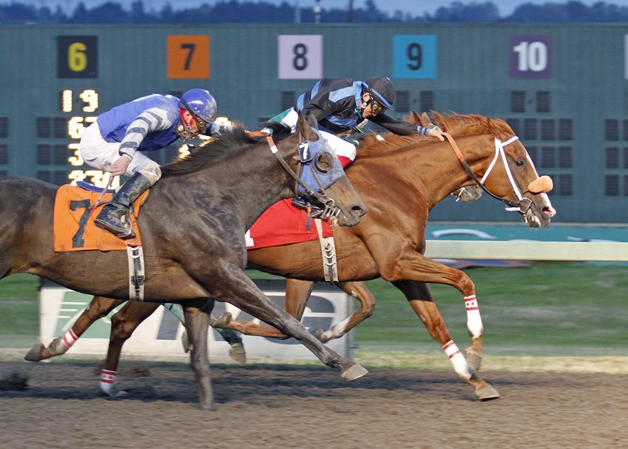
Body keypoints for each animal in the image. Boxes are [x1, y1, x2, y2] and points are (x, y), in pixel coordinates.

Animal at [0, 113, 366, 410]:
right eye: (323, 160)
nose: (357, 208)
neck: (212, 199)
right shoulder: (224, 276)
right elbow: (287, 320)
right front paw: (344, 364)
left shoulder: (197, 296)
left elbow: (201, 361)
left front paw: (208, 405)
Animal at [31, 111, 556, 400]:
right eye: (520, 160)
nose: (545, 207)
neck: (397, 182)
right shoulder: (395, 262)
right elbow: (464, 281)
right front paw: (477, 351)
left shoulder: (376, 268)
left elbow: (423, 321)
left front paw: (473, 378)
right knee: (119, 317)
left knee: (112, 311)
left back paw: (61, 352)